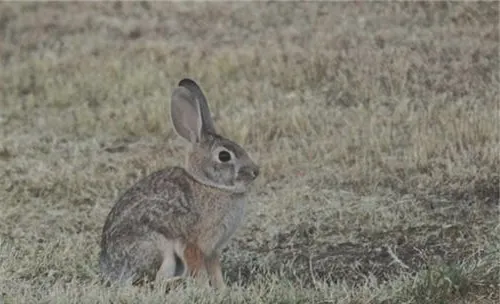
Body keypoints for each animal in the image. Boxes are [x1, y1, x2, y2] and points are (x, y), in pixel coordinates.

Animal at [99, 78, 260, 288]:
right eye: (224, 156)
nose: (256, 171)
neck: (209, 185)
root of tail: (110, 271)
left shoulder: (212, 250)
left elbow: (215, 270)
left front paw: (222, 288)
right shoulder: (191, 243)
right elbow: (199, 270)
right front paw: (205, 288)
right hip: (156, 248)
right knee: (152, 282)